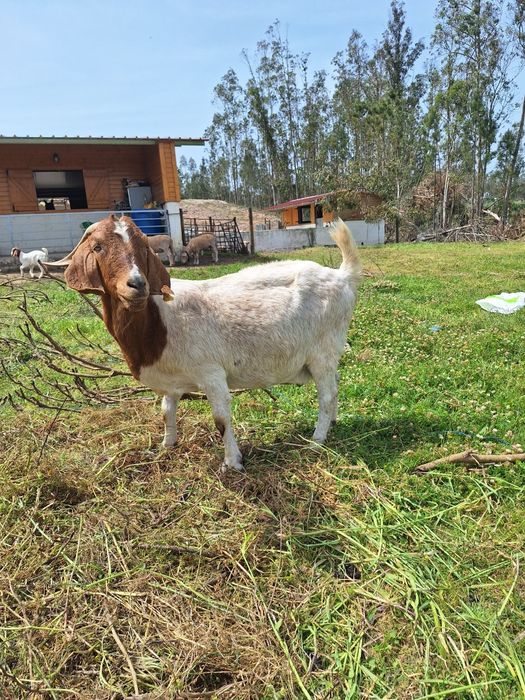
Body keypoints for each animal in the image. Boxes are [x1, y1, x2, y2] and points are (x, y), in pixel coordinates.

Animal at [46, 214, 361, 471]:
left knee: (327, 394)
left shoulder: (211, 373)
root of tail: (342, 276)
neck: (158, 321)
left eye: (144, 248)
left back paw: (316, 439)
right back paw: (332, 422)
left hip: (322, 351)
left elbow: (221, 419)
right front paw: (166, 446)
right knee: (336, 383)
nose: (137, 284)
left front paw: (232, 463)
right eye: (98, 247)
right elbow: (166, 411)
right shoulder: (171, 381)